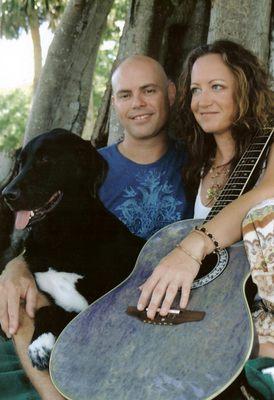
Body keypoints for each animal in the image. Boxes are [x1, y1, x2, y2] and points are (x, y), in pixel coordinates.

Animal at [2, 128, 144, 368]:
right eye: (21, 163)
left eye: (45, 159)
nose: (6, 195)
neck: (59, 236)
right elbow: (44, 309)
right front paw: (39, 345)